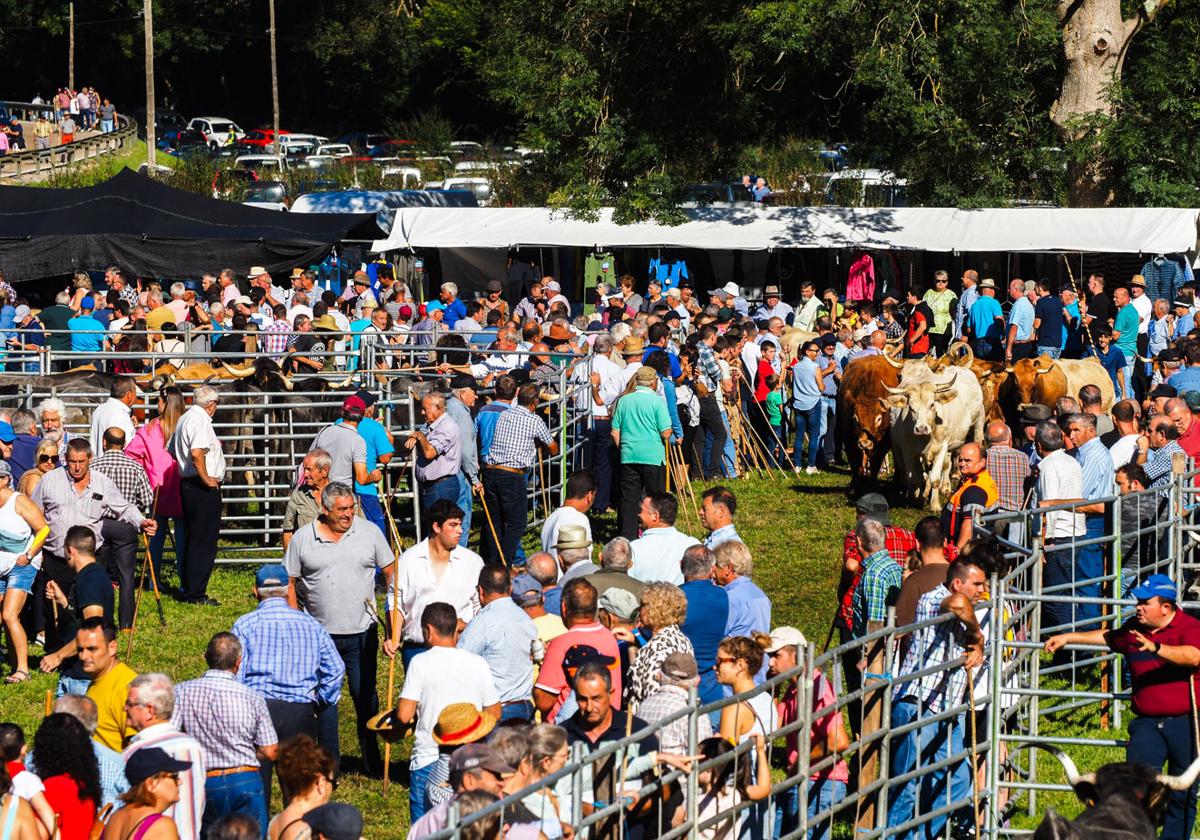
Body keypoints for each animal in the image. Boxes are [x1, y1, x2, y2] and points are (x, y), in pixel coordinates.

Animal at [883, 364, 984, 508]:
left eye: (932, 404)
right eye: (911, 407)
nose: (921, 428)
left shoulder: (941, 448)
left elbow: (934, 478)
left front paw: (935, 505)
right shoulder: (908, 452)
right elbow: (915, 478)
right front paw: (917, 499)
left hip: (978, 423)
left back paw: (946, 487)